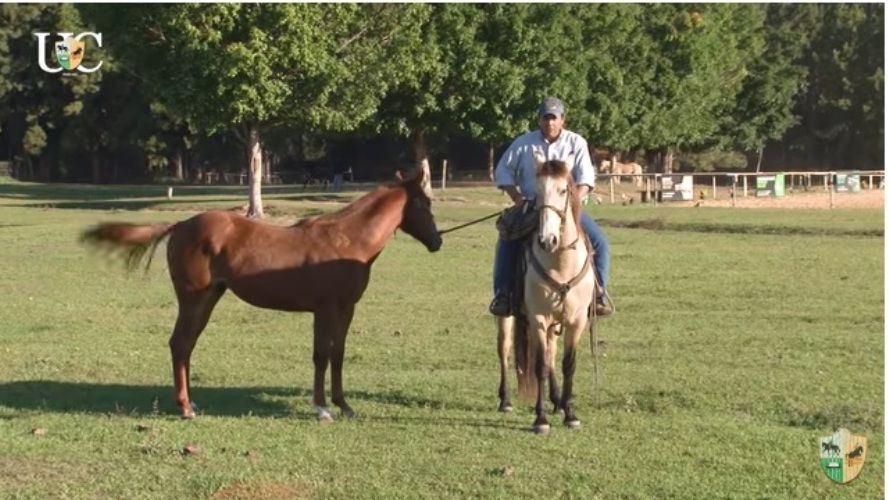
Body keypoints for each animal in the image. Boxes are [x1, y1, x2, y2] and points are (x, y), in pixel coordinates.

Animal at [81, 165, 442, 422]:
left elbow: (337, 355)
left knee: (186, 345)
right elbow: (321, 355)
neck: (347, 241)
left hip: (209, 297)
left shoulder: (346, 309)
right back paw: (185, 409)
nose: (437, 242)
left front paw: (345, 406)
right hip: (193, 298)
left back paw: (190, 403)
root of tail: (181, 224)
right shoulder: (325, 309)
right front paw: (322, 409)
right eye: (423, 203)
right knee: (180, 343)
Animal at [492, 151, 596, 434]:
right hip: (506, 318)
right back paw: (505, 401)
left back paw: (557, 402)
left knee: (550, 355)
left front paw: (569, 414)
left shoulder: (576, 320)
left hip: (553, 325)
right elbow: (538, 367)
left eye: (563, 190)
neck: (560, 263)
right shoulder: (538, 317)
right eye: (536, 192)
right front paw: (540, 420)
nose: (547, 240)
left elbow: (567, 364)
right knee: (504, 351)